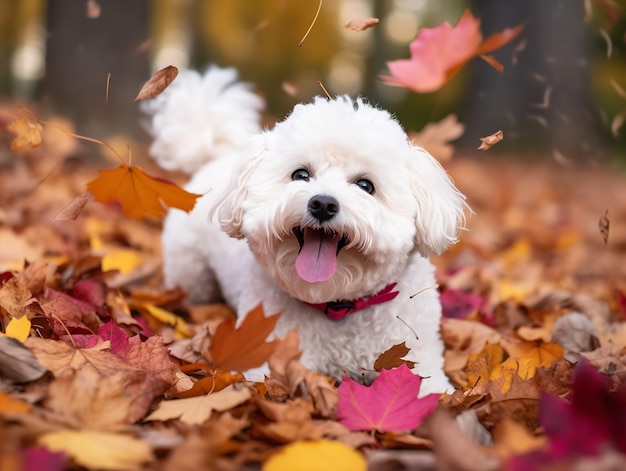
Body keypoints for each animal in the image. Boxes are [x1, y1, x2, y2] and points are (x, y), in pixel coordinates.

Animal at [141, 67, 464, 398]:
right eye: (300, 174)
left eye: (365, 185)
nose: (322, 204)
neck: (338, 306)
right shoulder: (268, 354)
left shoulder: (416, 355)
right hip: (191, 274)